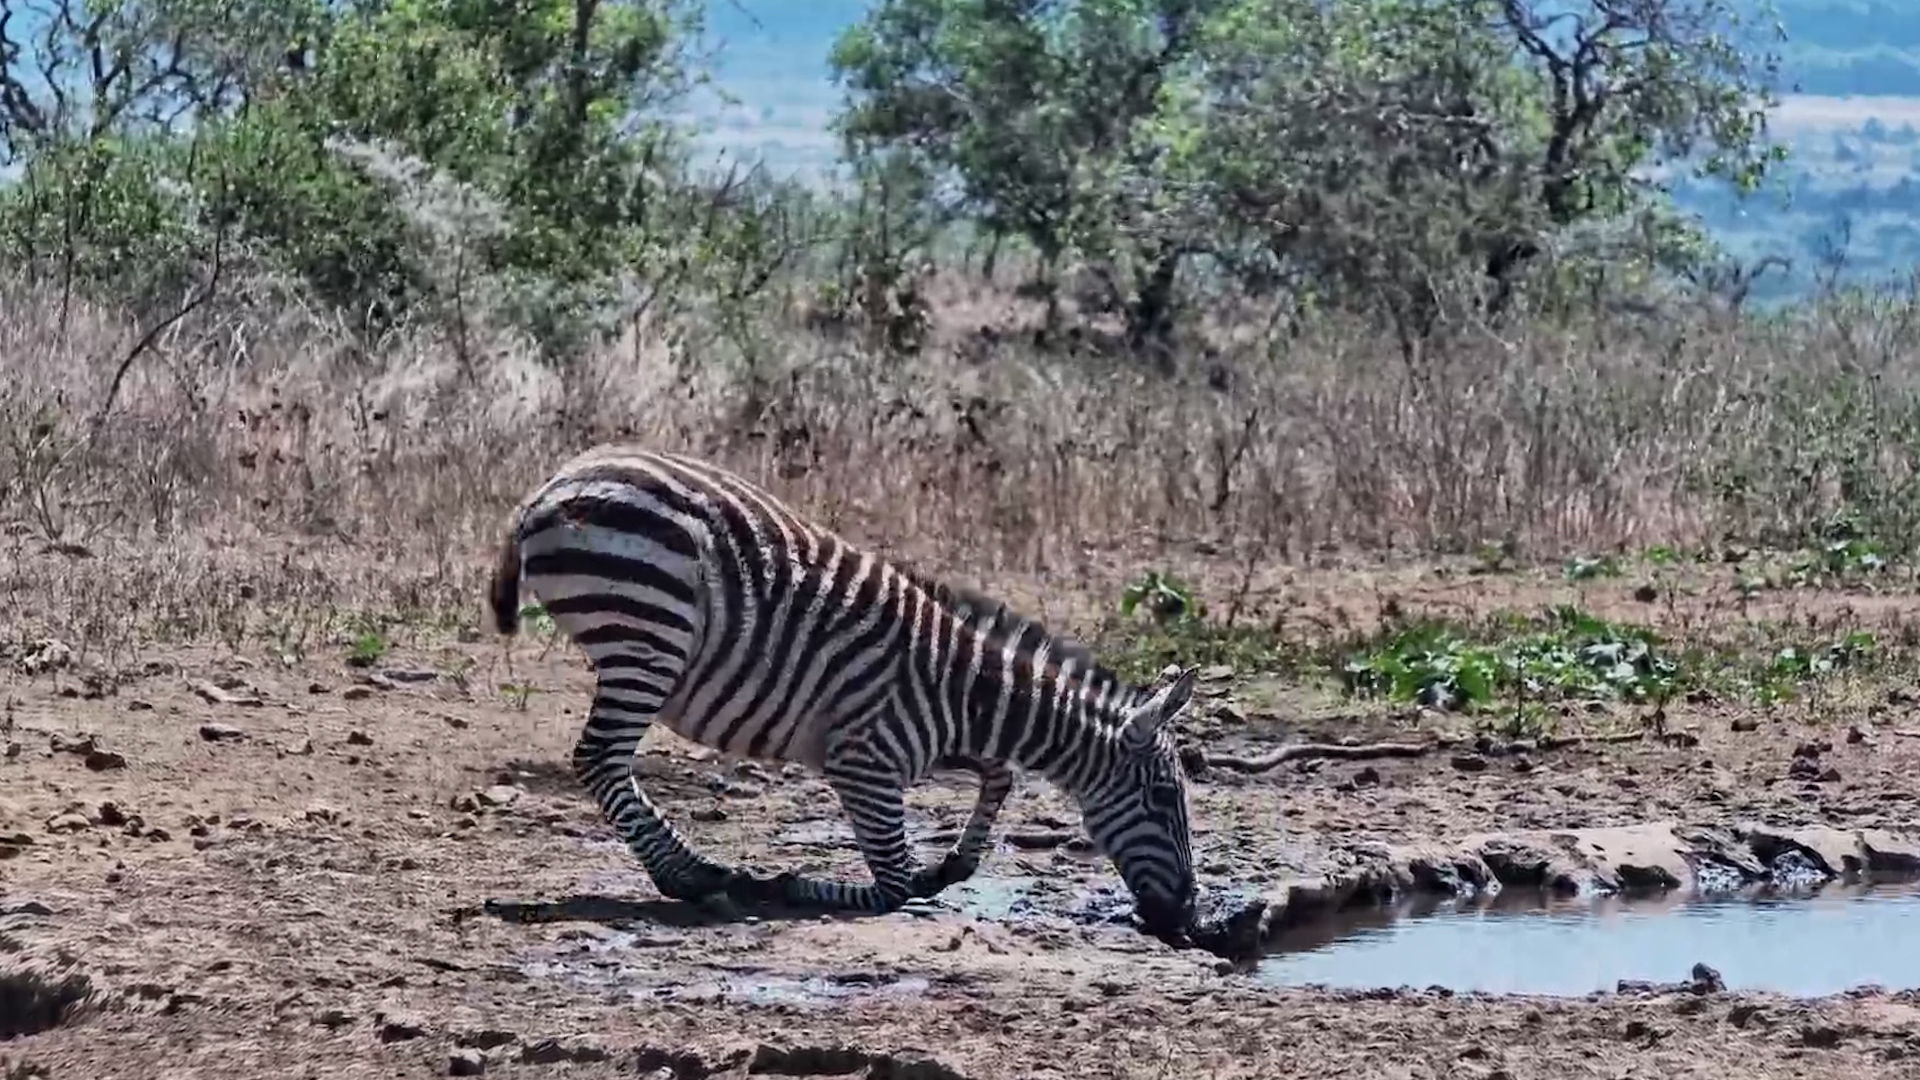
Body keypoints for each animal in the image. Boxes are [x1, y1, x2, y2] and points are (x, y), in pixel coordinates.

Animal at [484, 443, 1201, 934]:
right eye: (1165, 799)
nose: (1187, 916)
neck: (967, 697)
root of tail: (552, 484)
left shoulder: (926, 747)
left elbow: (998, 776)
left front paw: (953, 865)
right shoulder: (865, 762)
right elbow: (893, 885)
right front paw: (792, 884)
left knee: (604, 761)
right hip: (646, 636)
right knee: (599, 758)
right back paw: (692, 876)